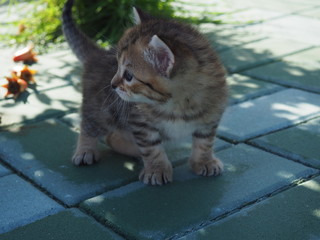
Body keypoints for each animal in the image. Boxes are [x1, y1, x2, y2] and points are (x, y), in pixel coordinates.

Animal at [62, 0, 228, 186]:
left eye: (128, 76)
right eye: (116, 65)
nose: (112, 84)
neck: (177, 105)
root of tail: (97, 56)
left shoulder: (211, 117)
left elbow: (205, 142)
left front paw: (204, 162)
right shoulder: (140, 121)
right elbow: (151, 147)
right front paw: (157, 169)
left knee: (111, 137)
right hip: (102, 110)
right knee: (89, 125)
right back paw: (85, 151)